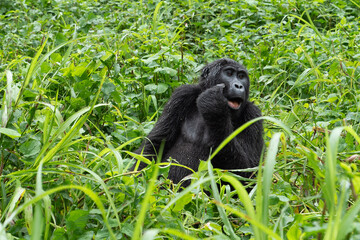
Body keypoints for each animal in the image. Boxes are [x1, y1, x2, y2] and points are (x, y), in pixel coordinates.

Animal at [132, 58, 264, 186]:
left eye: (241, 76)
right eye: (229, 73)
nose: (239, 86)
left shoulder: (254, 115)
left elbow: (248, 173)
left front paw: (215, 108)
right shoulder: (181, 95)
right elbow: (154, 145)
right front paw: (135, 180)